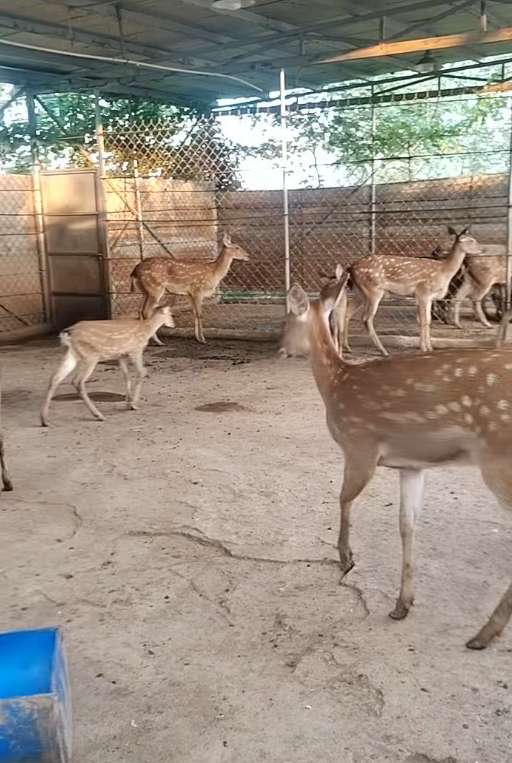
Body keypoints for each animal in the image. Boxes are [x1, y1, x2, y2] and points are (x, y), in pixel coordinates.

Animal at [40, 306, 175, 426]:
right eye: (171, 314)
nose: (173, 324)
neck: (146, 330)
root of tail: (67, 334)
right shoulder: (136, 350)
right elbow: (143, 372)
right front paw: (134, 404)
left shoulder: (121, 356)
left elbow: (126, 376)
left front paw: (128, 403)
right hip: (90, 356)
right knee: (77, 381)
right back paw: (98, 415)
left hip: (72, 354)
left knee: (55, 378)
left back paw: (44, 420)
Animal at [280, 273, 512, 650]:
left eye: (285, 320)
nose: (280, 348)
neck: (335, 385)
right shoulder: (412, 465)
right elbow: (407, 523)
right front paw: (402, 604)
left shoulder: (359, 445)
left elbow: (343, 498)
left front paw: (346, 558)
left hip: (498, 458)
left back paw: (485, 632)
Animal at [344, 227, 482, 356]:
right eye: (471, 241)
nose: (482, 250)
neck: (444, 271)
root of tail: (351, 268)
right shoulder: (423, 292)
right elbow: (423, 321)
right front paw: (423, 349)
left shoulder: (429, 297)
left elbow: (428, 321)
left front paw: (430, 348)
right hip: (373, 290)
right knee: (366, 318)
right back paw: (383, 350)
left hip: (360, 292)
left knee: (347, 313)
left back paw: (347, 348)